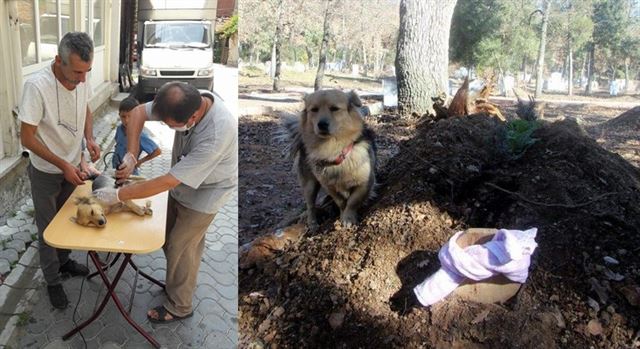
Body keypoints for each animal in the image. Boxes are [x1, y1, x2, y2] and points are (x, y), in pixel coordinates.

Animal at [284, 89, 378, 228]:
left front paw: (348, 217)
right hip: (309, 184)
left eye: (335, 108)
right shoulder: (329, 185)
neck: (333, 148)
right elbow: (341, 201)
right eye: (314, 110)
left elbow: (353, 201)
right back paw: (312, 222)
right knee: (310, 204)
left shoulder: (365, 183)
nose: (322, 124)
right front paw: (343, 214)